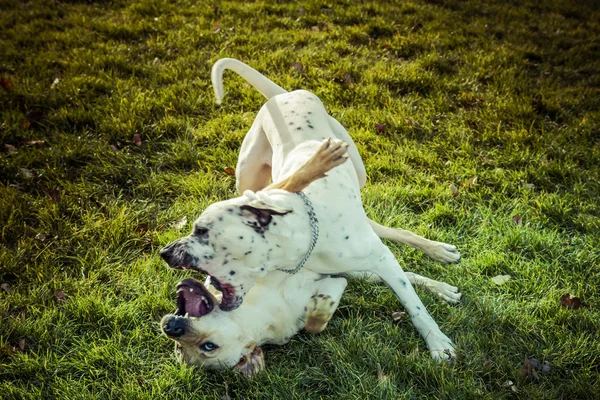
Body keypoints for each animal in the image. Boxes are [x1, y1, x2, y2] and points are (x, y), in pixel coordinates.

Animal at [159, 59, 460, 362]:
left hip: (356, 173)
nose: (165, 252)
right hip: (246, 176)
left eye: (201, 229)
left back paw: (439, 252)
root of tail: (283, 95)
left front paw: (437, 341)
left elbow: (415, 306)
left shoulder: (381, 260)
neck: (299, 248)